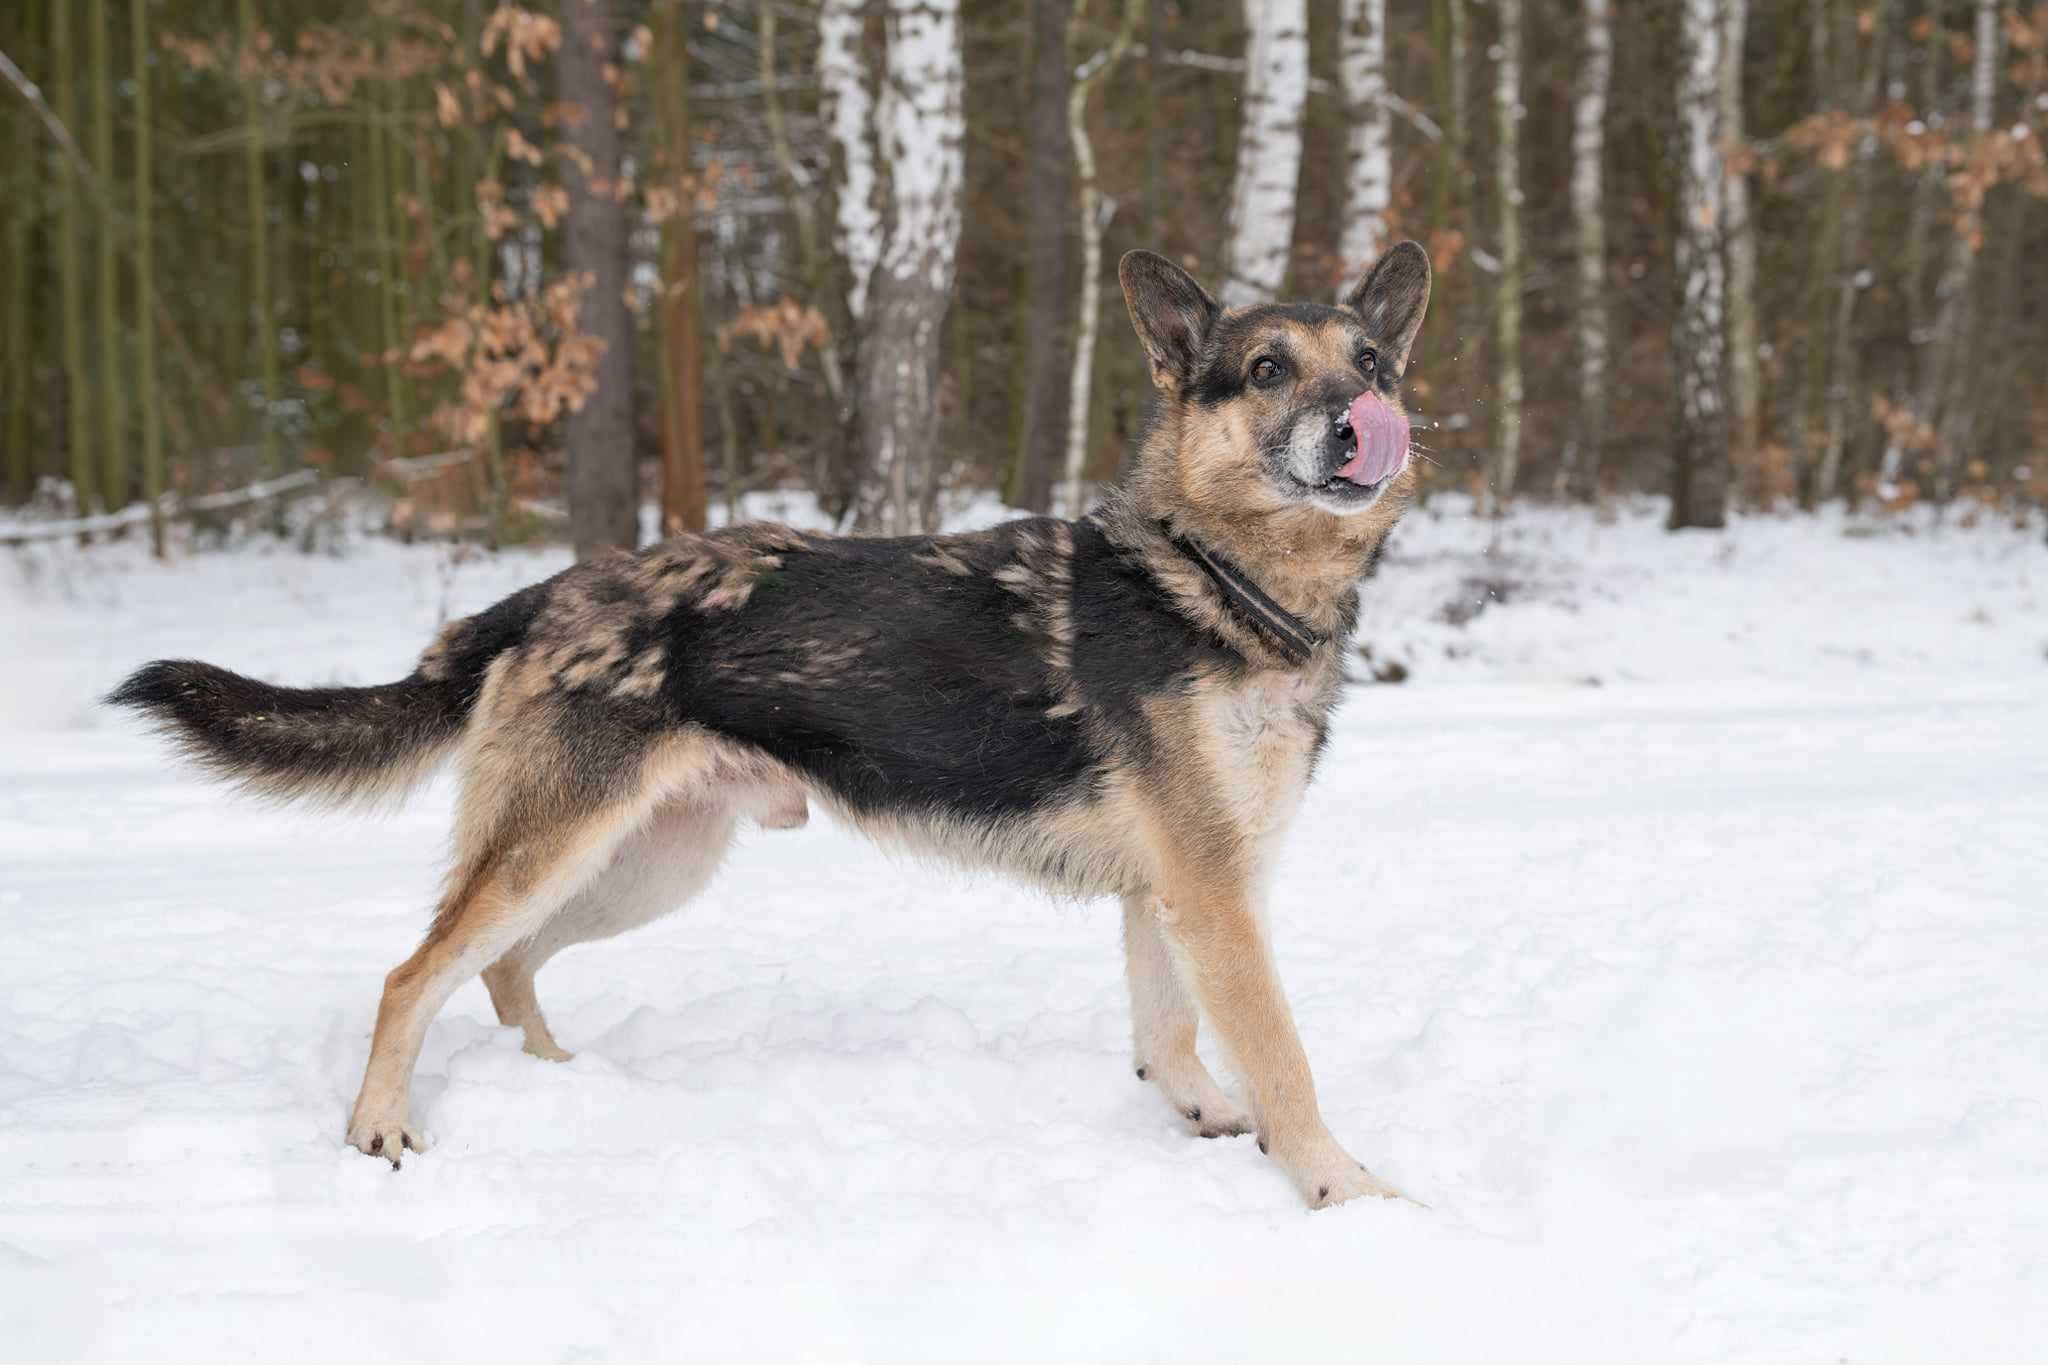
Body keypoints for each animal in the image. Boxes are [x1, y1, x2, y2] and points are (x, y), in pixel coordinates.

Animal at [108, 242, 1425, 1203]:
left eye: (1370, 361)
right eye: (1266, 369)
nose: (1360, 416)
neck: (1208, 578)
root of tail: (551, 589)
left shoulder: (1174, 892)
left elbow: (1172, 1039)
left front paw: (1212, 1120)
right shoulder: (1211, 893)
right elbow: (1284, 1060)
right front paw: (1349, 1196)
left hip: (642, 867)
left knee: (503, 966)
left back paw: (559, 1084)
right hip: (560, 851)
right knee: (410, 974)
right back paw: (379, 1130)